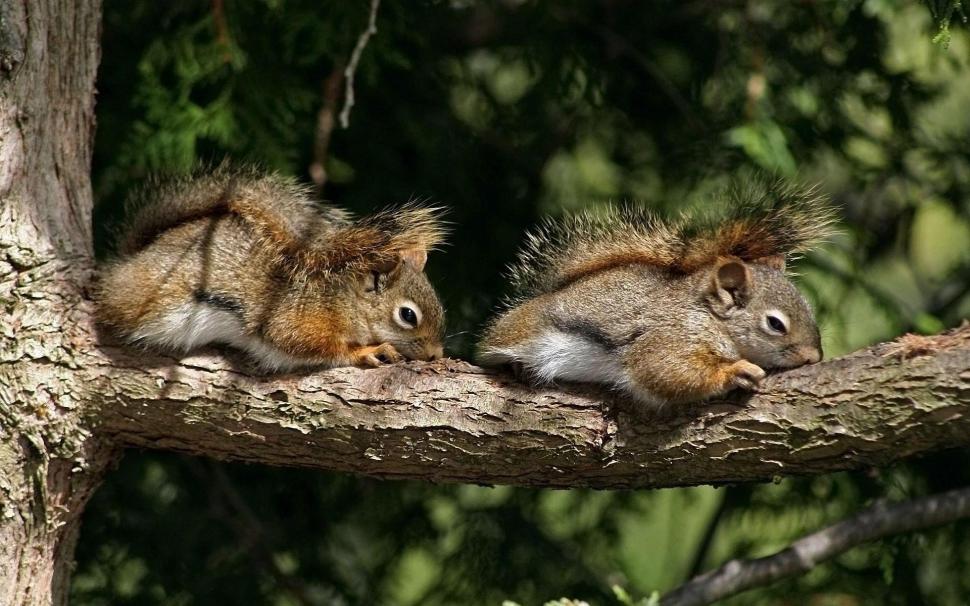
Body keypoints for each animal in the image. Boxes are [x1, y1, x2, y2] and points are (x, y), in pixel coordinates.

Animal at [96, 165, 447, 371]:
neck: (342, 299)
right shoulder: (297, 319)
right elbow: (310, 346)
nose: (436, 354)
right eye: (408, 315)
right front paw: (369, 351)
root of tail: (131, 258)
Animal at [477, 180, 836, 408]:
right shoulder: (670, 336)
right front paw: (735, 372)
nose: (814, 358)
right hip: (519, 332)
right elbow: (660, 369)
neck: (710, 317)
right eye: (775, 324)